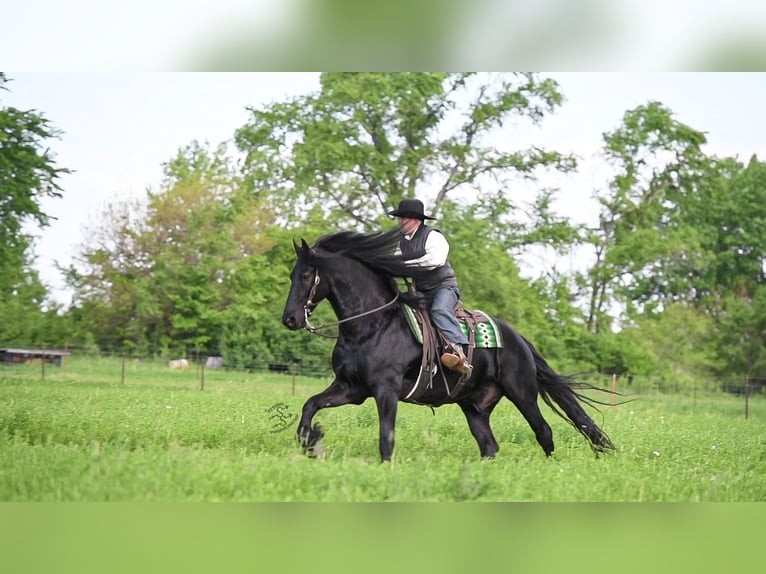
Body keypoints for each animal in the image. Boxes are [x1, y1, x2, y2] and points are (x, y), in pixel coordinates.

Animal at [284, 230, 616, 464]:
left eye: (306, 274)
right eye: (291, 275)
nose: (289, 319)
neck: (373, 326)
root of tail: (519, 339)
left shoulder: (385, 390)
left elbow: (386, 437)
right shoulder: (351, 388)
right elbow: (310, 404)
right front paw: (311, 441)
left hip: (522, 393)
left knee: (543, 431)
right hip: (474, 406)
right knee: (489, 445)